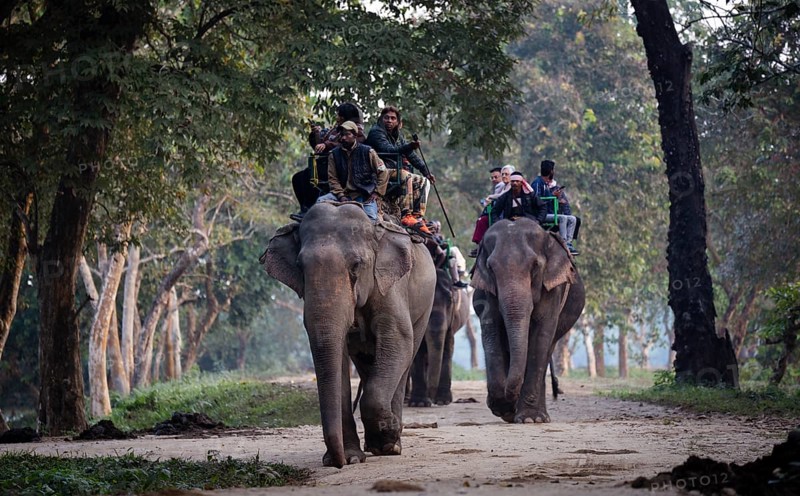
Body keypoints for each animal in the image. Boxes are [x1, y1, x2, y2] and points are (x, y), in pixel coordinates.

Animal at [260, 202, 436, 468]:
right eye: (300, 267)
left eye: (356, 265)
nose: (338, 462)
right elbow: (336, 354)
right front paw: (352, 457)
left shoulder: (390, 285)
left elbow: (398, 339)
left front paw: (386, 434)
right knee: (366, 362)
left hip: (425, 306)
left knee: (407, 355)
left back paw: (390, 445)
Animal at [407, 267, 470, 407]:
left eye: (450, 301)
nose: (432, 397)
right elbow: (418, 352)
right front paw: (419, 403)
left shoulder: (451, 323)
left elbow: (447, 349)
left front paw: (443, 401)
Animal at [471, 217, 585, 424]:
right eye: (490, 268)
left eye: (535, 266)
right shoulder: (486, 289)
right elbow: (491, 329)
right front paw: (504, 408)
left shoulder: (552, 288)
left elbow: (541, 335)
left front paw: (529, 419)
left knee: (546, 350)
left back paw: (539, 417)